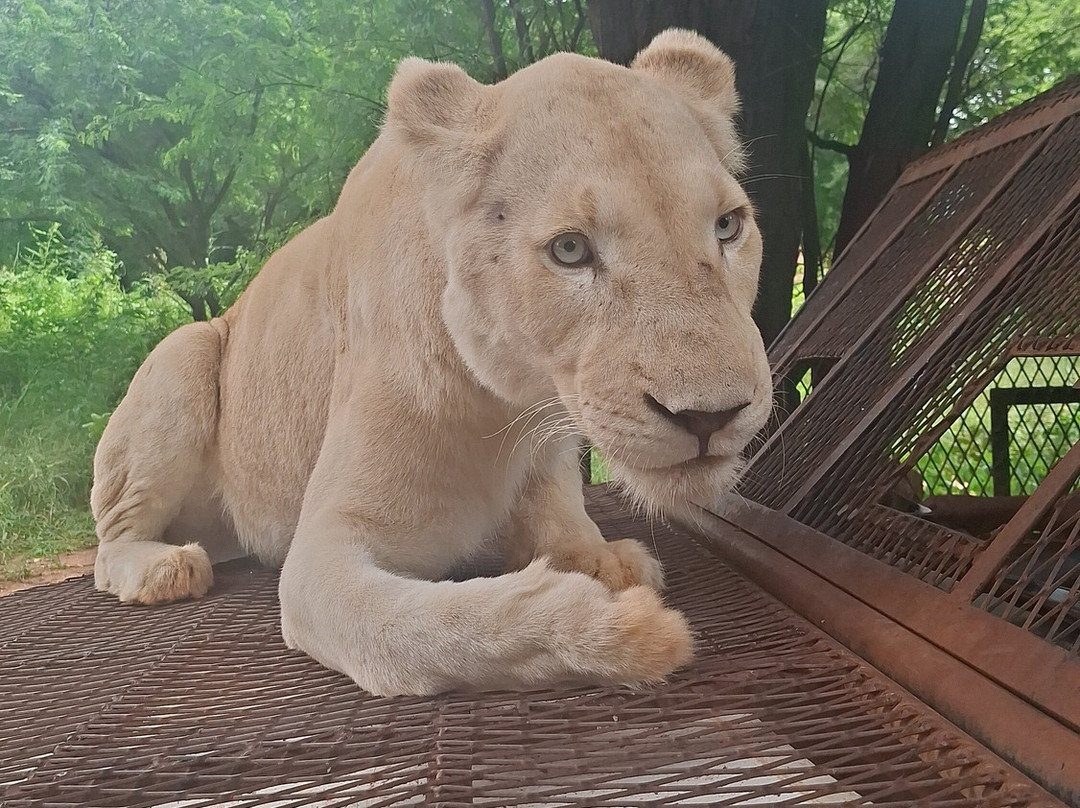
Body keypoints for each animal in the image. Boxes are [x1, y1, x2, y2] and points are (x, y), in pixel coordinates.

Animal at [90, 29, 772, 696]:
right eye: (570, 250)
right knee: (108, 546)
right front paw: (616, 630)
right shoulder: (321, 556)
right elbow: (432, 628)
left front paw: (599, 557)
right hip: (185, 351)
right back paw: (165, 566)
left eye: (727, 226)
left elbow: (557, 513)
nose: (712, 417)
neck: (506, 405)